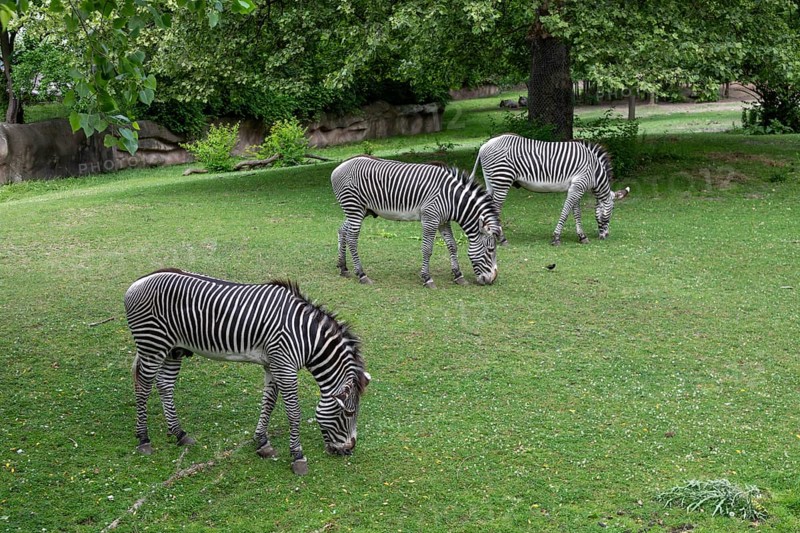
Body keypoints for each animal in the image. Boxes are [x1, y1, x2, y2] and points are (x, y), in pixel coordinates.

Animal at [124, 268, 370, 475]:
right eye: (349, 413)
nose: (349, 450)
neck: (306, 336)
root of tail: (137, 282)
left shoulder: (273, 364)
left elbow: (269, 403)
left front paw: (262, 442)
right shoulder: (285, 366)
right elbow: (294, 412)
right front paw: (298, 456)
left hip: (172, 350)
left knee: (164, 385)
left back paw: (179, 434)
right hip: (152, 345)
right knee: (143, 387)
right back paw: (144, 439)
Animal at [331, 156, 502, 288]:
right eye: (491, 250)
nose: (492, 280)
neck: (452, 198)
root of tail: (339, 167)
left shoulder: (443, 221)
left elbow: (452, 245)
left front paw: (458, 275)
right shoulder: (430, 219)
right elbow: (427, 249)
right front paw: (427, 278)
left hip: (361, 210)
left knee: (342, 230)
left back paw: (343, 267)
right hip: (354, 208)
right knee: (352, 239)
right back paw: (361, 274)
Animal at [470, 133, 630, 245]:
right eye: (613, 209)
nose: (605, 236)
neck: (594, 171)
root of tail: (484, 146)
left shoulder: (576, 187)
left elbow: (576, 212)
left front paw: (582, 236)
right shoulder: (578, 187)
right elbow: (566, 211)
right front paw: (556, 238)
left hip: (491, 181)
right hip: (502, 180)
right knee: (496, 208)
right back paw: (502, 239)